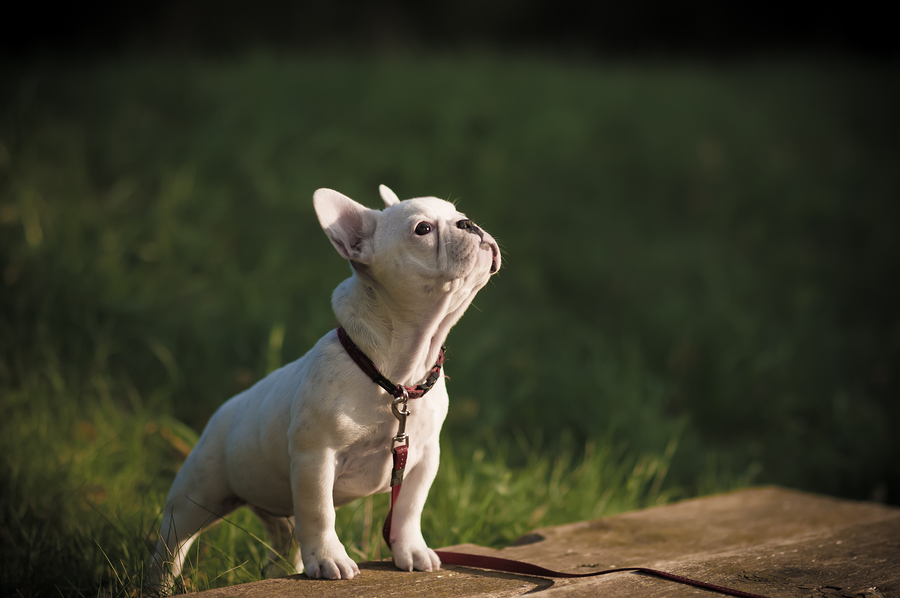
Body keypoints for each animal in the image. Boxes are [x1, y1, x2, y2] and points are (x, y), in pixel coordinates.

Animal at [148, 185, 500, 588]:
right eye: (423, 229)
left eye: (459, 214)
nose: (469, 224)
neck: (396, 375)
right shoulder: (315, 457)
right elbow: (320, 513)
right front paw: (330, 559)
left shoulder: (424, 457)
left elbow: (409, 507)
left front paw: (410, 550)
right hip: (196, 494)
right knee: (172, 546)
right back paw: (159, 585)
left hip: (273, 503)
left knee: (284, 537)